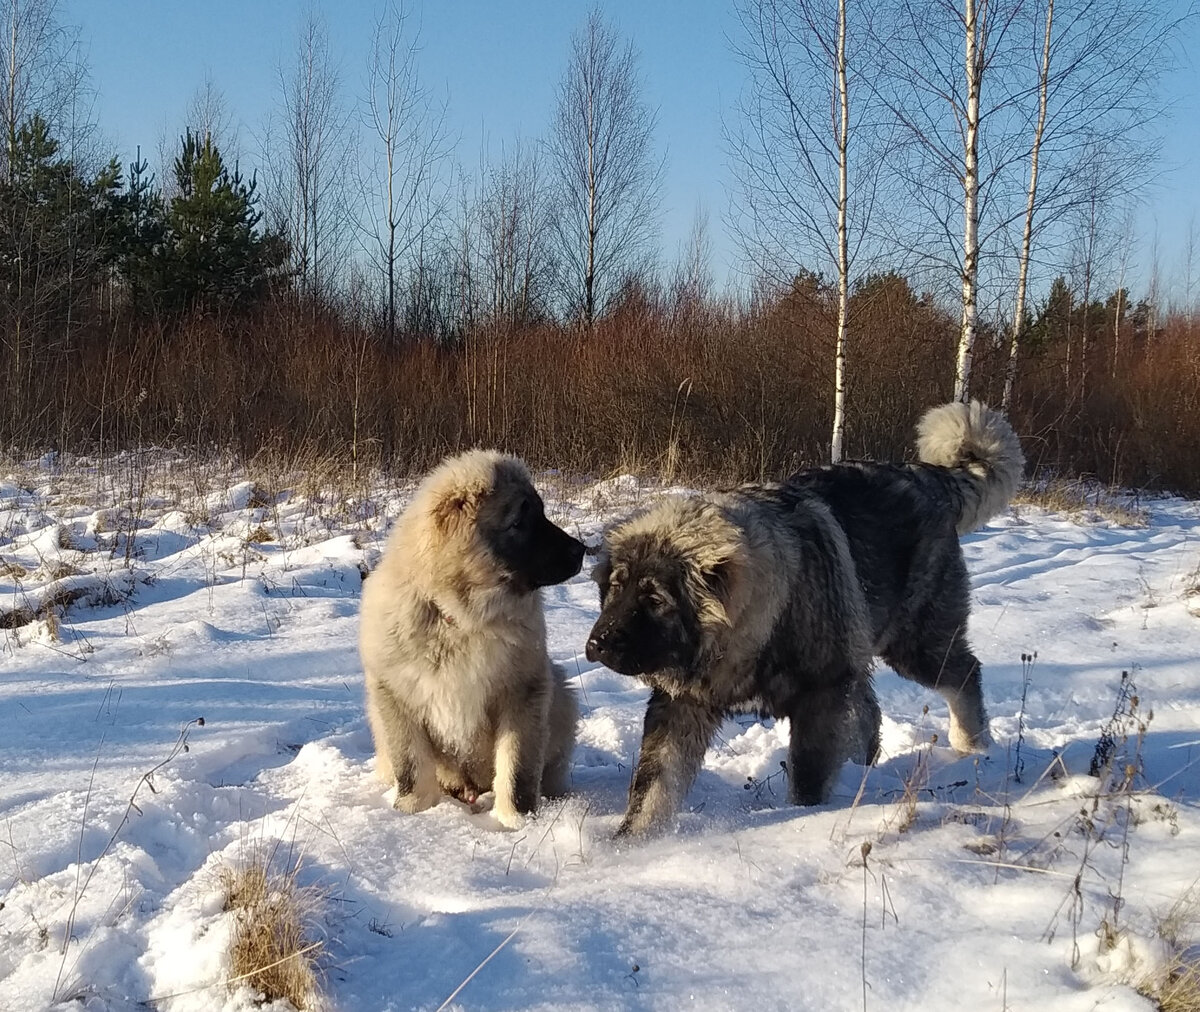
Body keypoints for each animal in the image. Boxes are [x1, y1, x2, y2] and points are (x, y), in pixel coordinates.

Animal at [585, 398, 1027, 835]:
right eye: (616, 588)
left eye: (655, 599)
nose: (596, 644)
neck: (756, 625)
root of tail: (927, 476)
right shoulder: (682, 704)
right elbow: (655, 787)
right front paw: (631, 842)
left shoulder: (819, 697)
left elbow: (807, 779)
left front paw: (804, 820)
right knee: (870, 710)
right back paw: (862, 771)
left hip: (916, 642)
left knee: (963, 674)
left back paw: (972, 747)